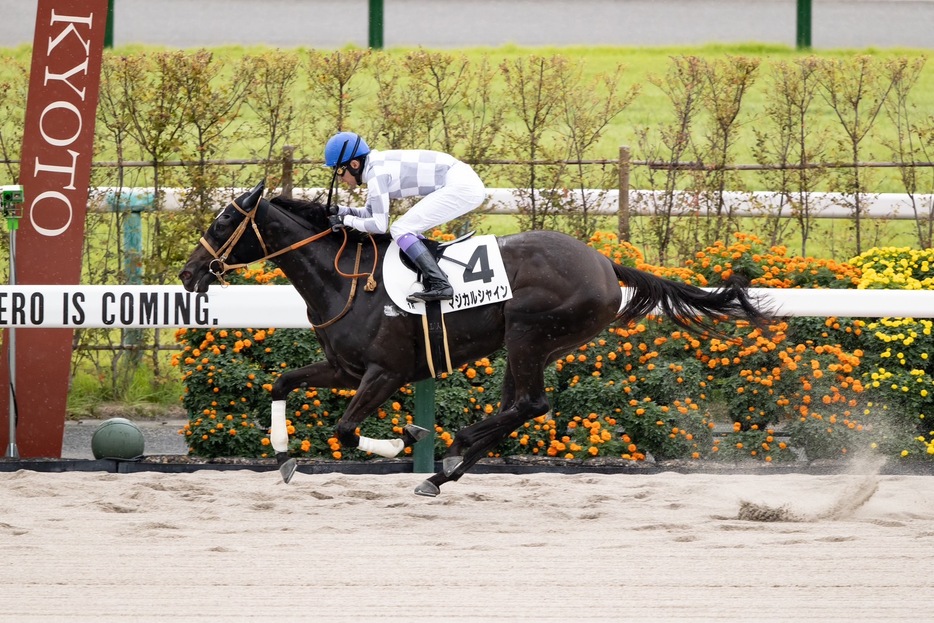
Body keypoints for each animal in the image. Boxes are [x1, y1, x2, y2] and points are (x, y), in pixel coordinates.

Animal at [179, 182, 772, 498]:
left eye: (225, 220)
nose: (188, 274)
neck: (346, 280)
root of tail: (606, 263)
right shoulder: (346, 370)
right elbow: (282, 382)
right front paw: (282, 454)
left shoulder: (385, 372)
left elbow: (345, 429)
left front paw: (402, 439)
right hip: (532, 343)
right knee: (517, 408)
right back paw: (444, 474)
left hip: (530, 330)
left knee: (530, 404)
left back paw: (455, 446)